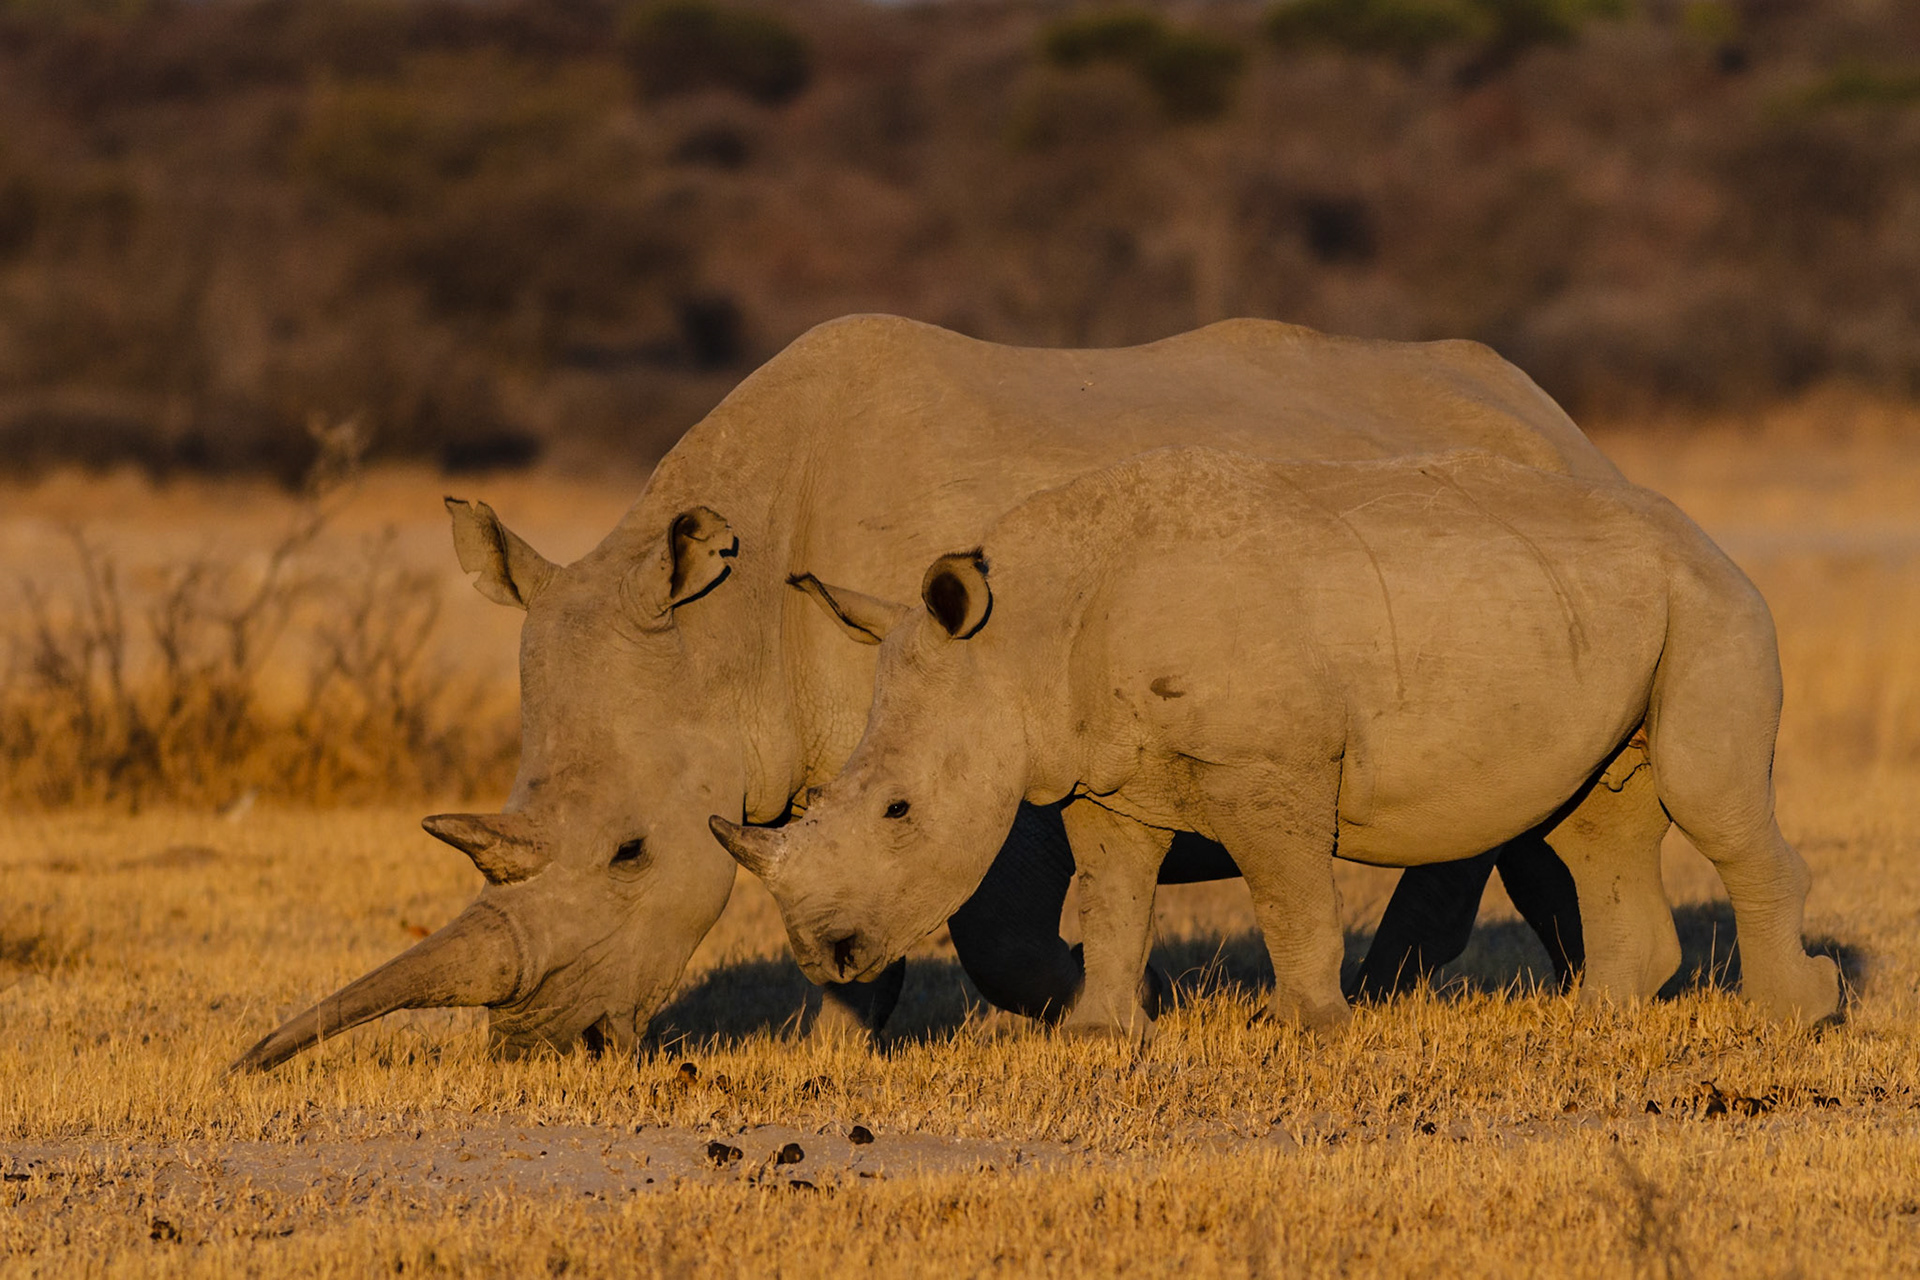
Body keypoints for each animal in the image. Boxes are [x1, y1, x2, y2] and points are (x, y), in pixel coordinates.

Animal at [237, 316, 1639, 1070]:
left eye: (634, 852)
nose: (546, 1045)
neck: (723, 629)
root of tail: (1563, 422)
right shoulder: (844, 764)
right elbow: (840, 895)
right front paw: (831, 1053)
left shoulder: (992, 734)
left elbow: (999, 928)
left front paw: (1078, 1002)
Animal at [711, 447, 1842, 1034]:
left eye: (898, 809)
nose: (826, 955)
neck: (1021, 631)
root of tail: (1706, 533)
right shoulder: (1103, 777)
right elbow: (1113, 902)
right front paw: (1101, 1035)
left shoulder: (1271, 770)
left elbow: (1292, 898)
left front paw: (1315, 1030)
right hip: (1604, 603)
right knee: (1591, 817)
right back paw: (1599, 1021)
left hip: (1711, 605)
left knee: (1708, 800)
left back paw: (1794, 1019)